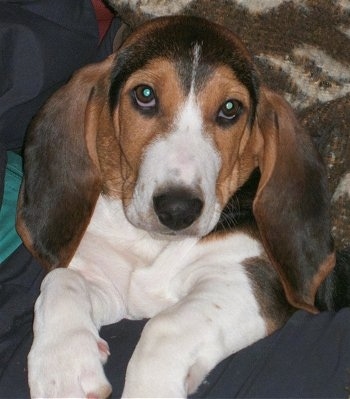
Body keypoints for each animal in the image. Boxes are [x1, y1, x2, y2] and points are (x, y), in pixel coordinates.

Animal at [16, 14, 336, 396]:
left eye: (230, 109)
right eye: (145, 95)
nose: (178, 210)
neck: (149, 245)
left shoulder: (249, 279)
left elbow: (162, 328)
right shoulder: (106, 284)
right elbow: (60, 280)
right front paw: (64, 368)